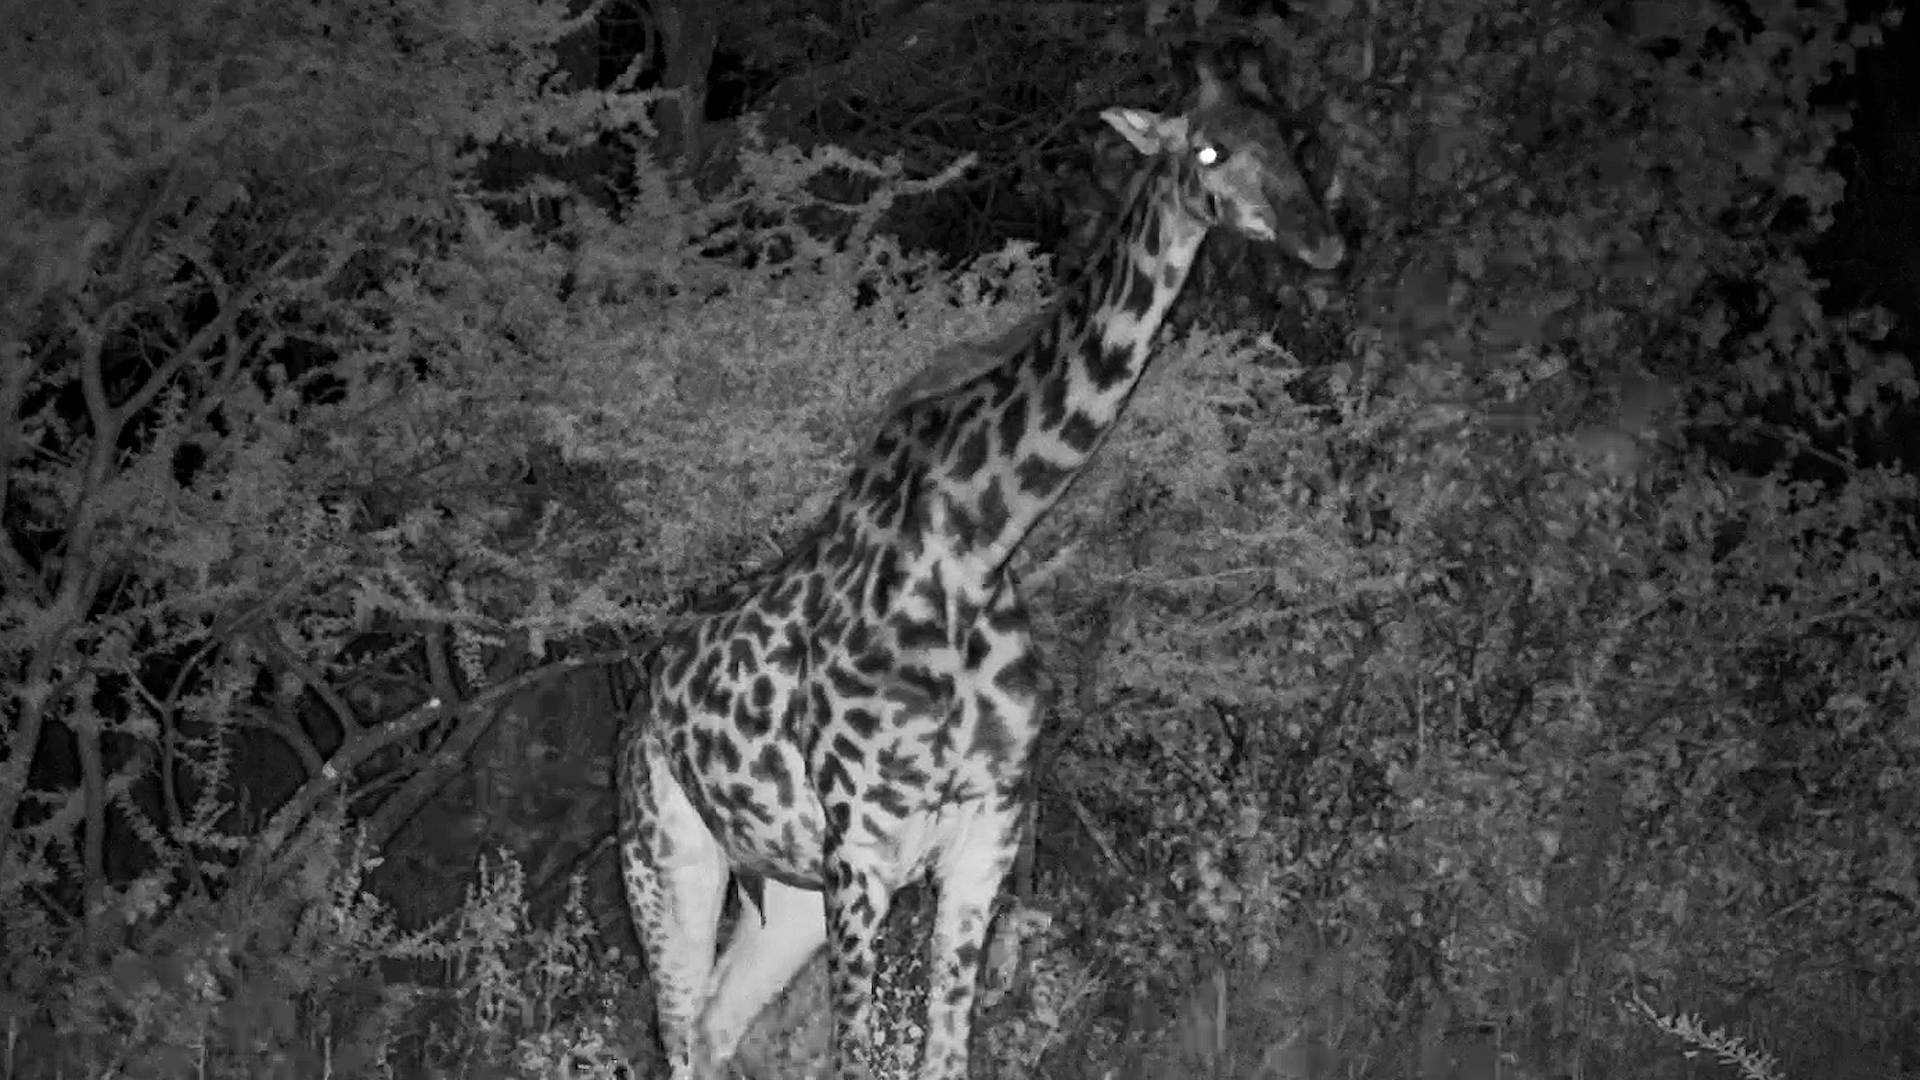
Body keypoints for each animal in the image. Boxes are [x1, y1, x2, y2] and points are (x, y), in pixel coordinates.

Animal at [618, 51, 1346, 1080]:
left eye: (1288, 134)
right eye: (1209, 148)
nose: (1323, 243)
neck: (975, 539)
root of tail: (644, 698)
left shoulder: (985, 834)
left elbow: (948, 1051)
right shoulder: (865, 851)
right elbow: (858, 1056)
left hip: (784, 891)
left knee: (720, 1031)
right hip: (670, 856)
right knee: (680, 1036)